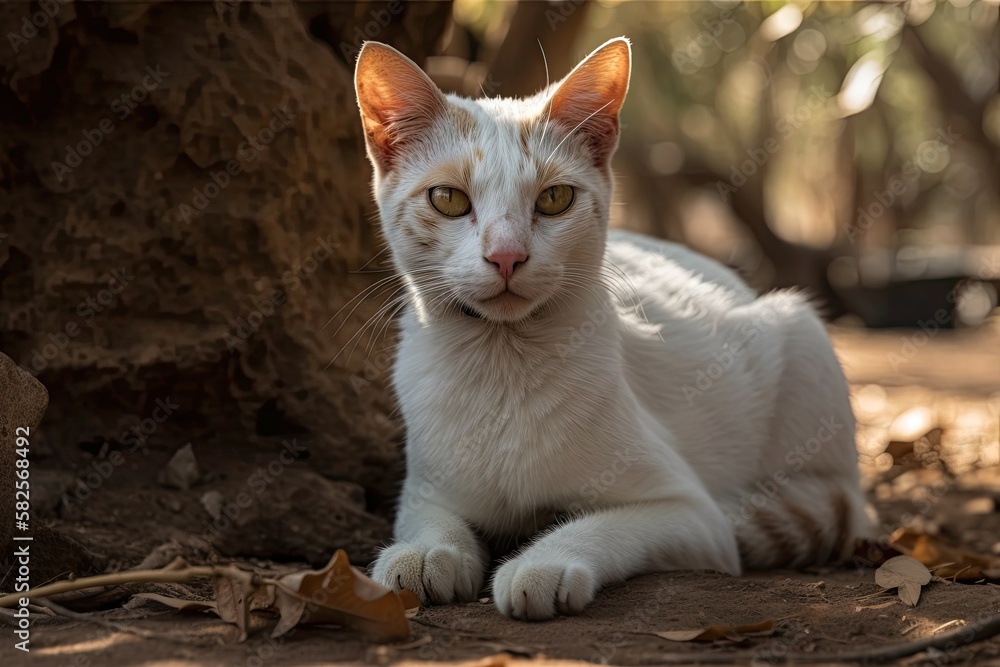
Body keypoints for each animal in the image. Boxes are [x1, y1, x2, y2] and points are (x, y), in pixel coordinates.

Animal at [356, 36, 872, 620]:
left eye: (554, 199)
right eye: (448, 199)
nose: (507, 256)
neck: (502, 363)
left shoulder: (690, 513)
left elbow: (602, 526)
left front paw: (543, 561)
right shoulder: (425, 491)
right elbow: (427, 521)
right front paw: (425, 553)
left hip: (801, 333)